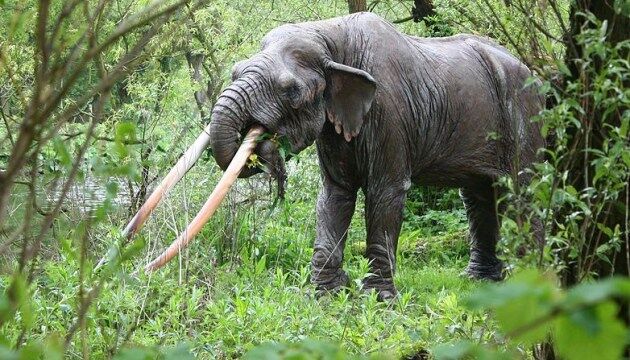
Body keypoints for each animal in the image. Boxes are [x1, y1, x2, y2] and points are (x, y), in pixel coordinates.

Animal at [210, 11, 544, 300]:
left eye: (290, 90)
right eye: (235, 71)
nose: (261, 142)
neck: (329, 35)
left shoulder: (389, 114)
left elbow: (385, 192)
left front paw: (379, 300)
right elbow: (335, 194)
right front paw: (326, 295)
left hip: (524, 113)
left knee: (522, 191)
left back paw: (531, 285)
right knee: (479, 195)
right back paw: (480, 282)